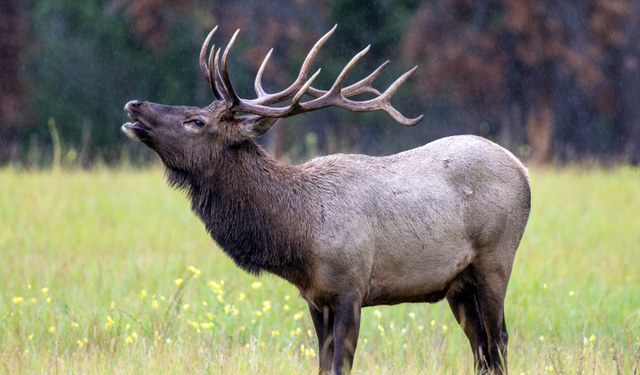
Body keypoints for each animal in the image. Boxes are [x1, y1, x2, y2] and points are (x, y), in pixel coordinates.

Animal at [121, 25, 528, 374]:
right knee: (481, 347)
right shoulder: (315, 297)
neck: (300, 236)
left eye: (196, 122)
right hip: (458, 282)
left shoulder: (351, 285)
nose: (134, 104)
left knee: (499, 338)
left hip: (496, 257)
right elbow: (320, 365)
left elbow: (339, 366)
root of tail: (523, 170)